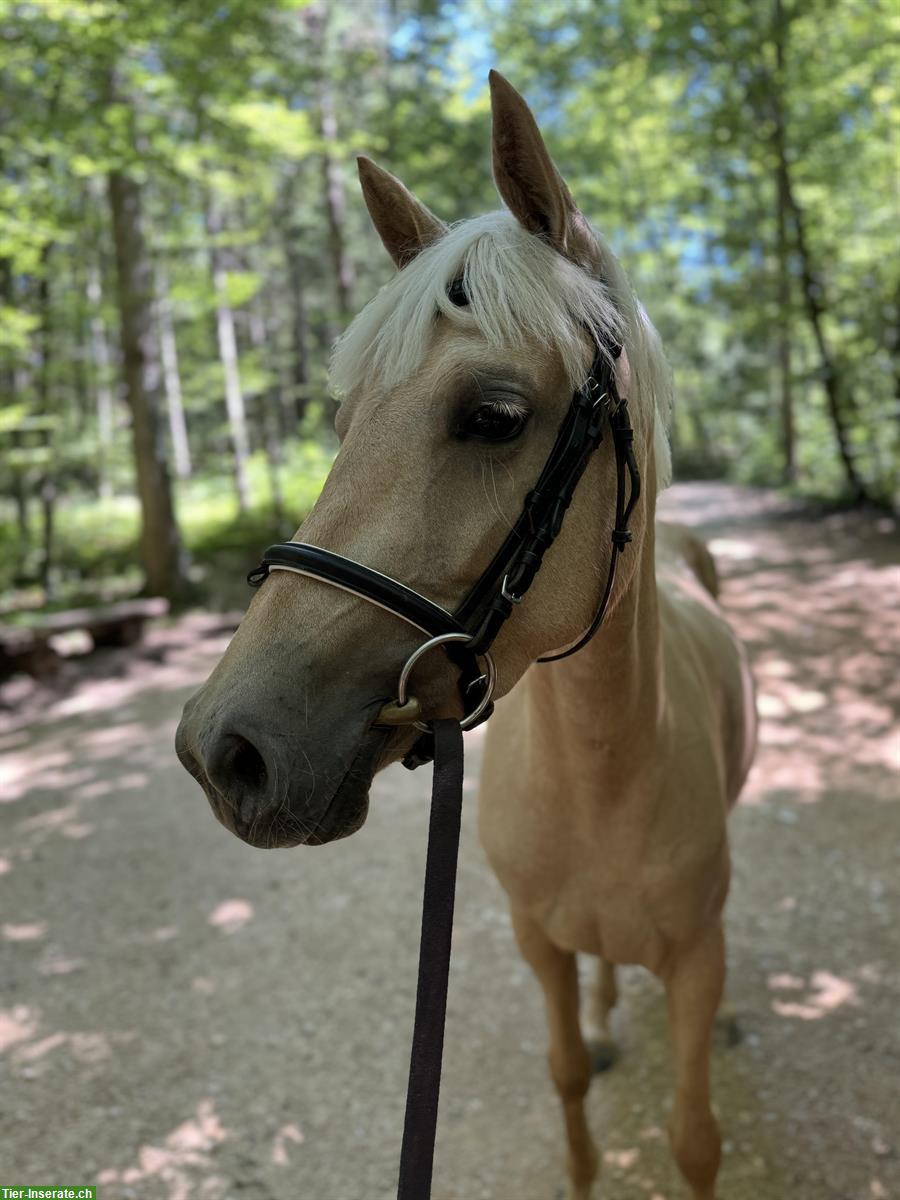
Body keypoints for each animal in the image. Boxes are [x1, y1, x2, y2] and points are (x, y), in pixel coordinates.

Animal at [174, 72, 753, 1200]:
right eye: (346, 421)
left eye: (493, 415)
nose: (222, 750)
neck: (605, 776)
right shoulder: (538, 944)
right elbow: (565, 1074)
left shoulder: (701, 960)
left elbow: (696, 1136)